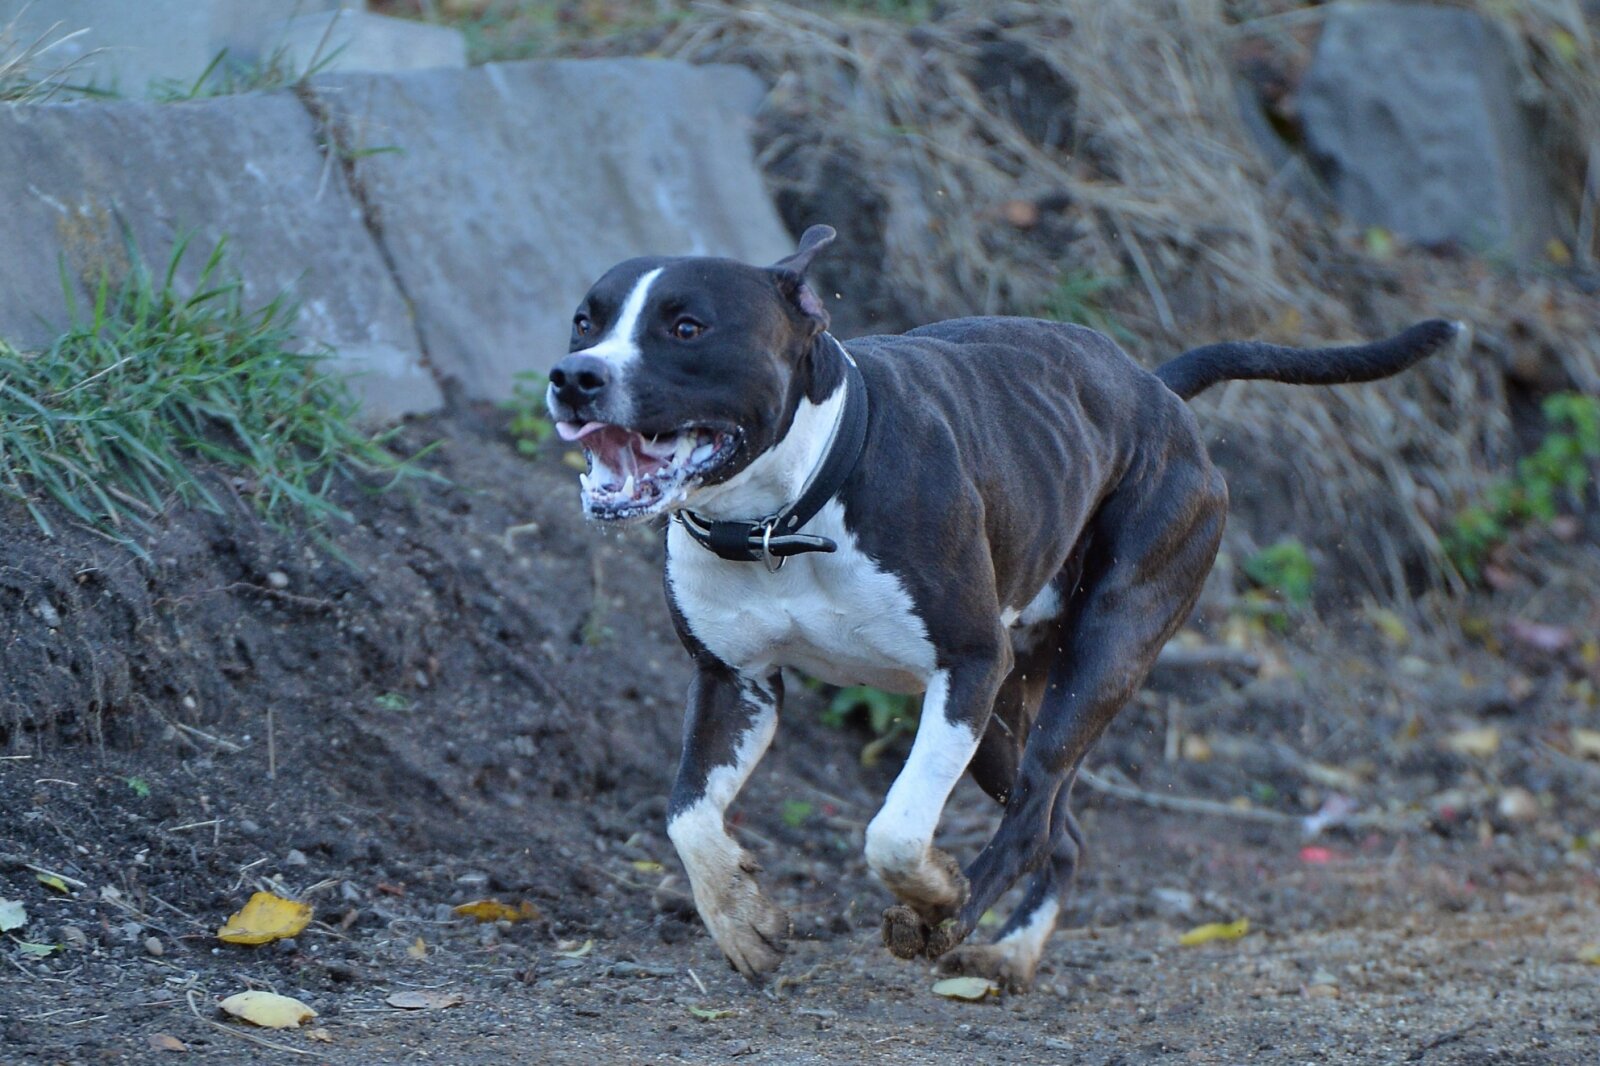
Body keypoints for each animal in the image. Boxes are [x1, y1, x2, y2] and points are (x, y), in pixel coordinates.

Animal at [545, 225, 1457, 990]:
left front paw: (935, 891)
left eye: (687, 327)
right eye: (585, 320)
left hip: (1099, 659)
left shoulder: (967, 665)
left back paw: (956, 923)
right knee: (1060, 829)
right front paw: (742, 920)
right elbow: (689, 816)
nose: (574, 377)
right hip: (1006, 714)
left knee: (1034, 815)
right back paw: (1013, 952)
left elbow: (895, 832)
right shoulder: (734, 683)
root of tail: (1156, 390)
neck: (788, 515)